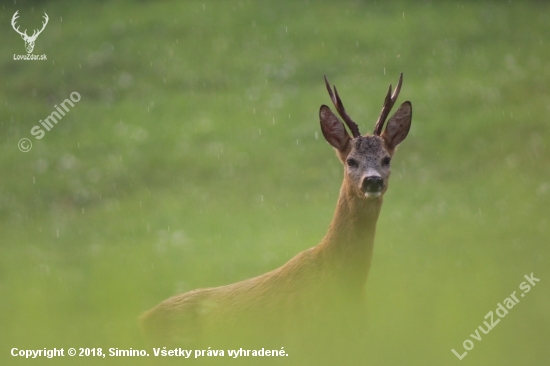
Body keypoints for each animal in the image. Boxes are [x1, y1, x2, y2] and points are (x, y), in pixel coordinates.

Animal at [140, 73, 412, 360]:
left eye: (386, 159)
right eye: (351, 161)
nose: (373, 181)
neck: (340, 281)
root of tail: (141, 321)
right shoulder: (299, 339)